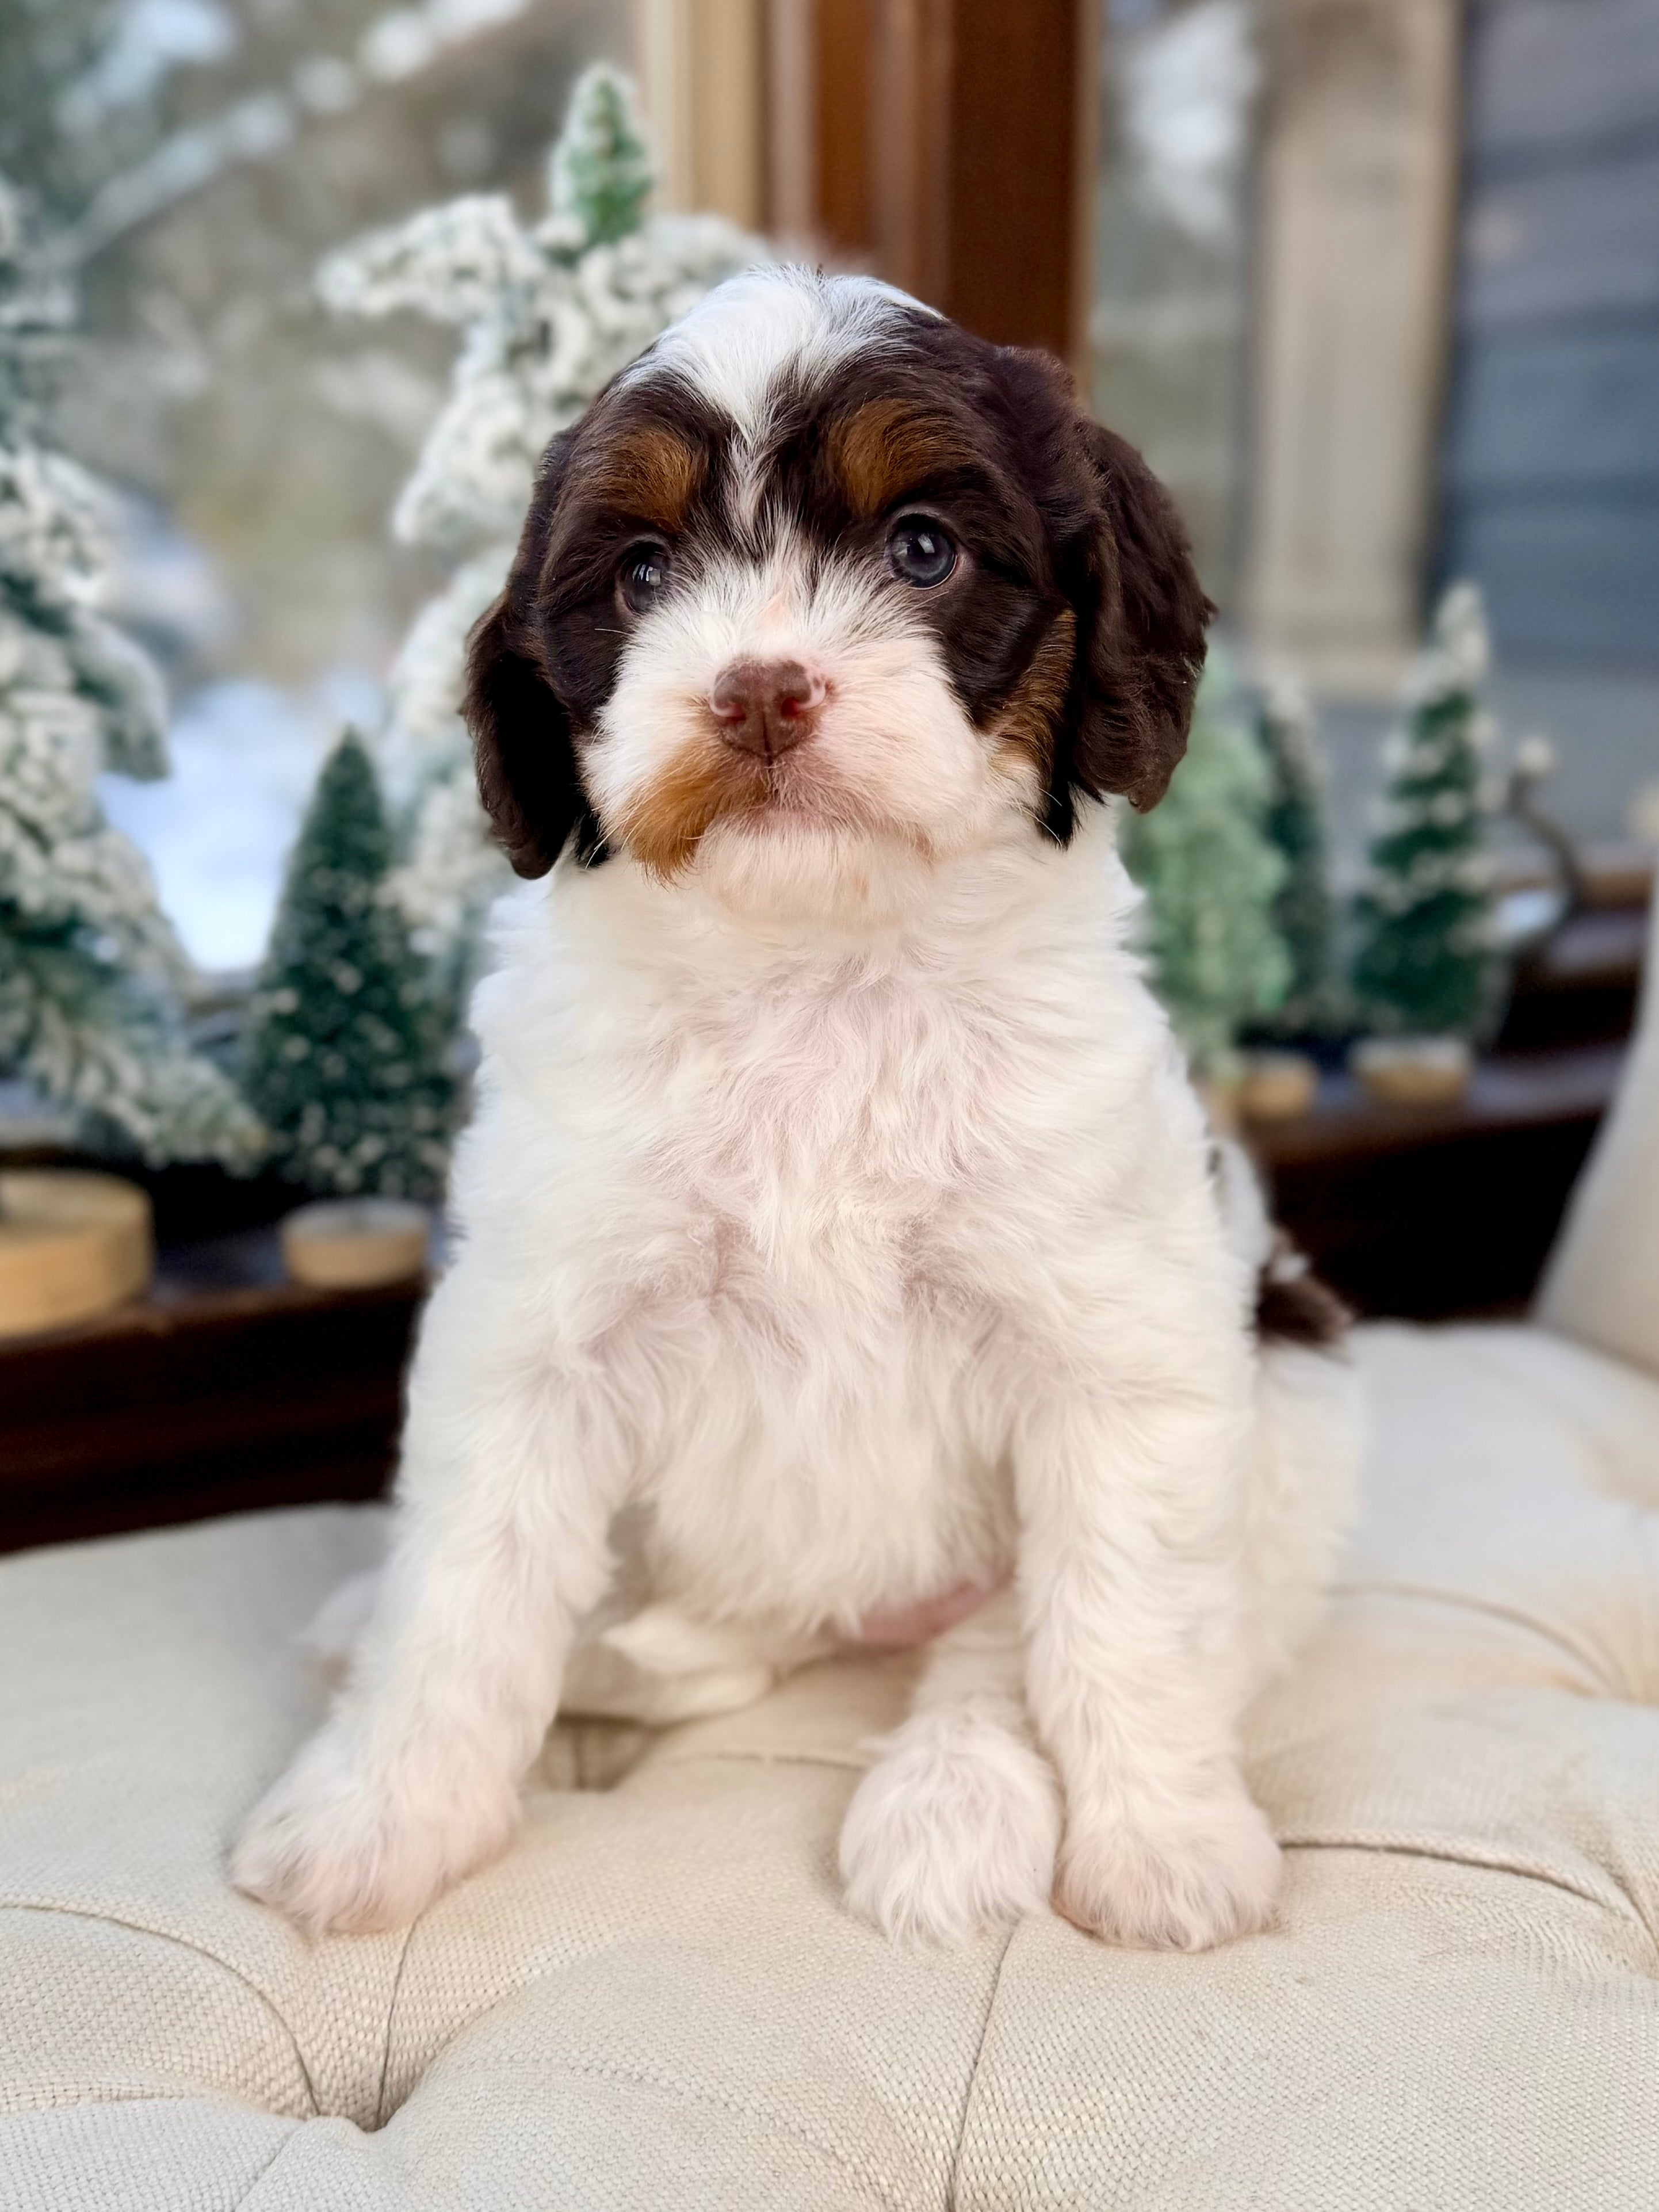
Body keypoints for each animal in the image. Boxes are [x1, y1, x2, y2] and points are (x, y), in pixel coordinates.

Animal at [233, 267, 1356, 1949]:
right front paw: (376, 1818)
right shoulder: (535, 1332)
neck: (817, 966)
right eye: (641, 574)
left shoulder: (1121, 1348)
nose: (758, 690)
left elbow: (1121, 1617)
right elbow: (466, 1586)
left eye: (922, 549)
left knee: (1003, 1643)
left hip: (1292, 1399)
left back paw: (951, 1805)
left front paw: (1163, 1838)